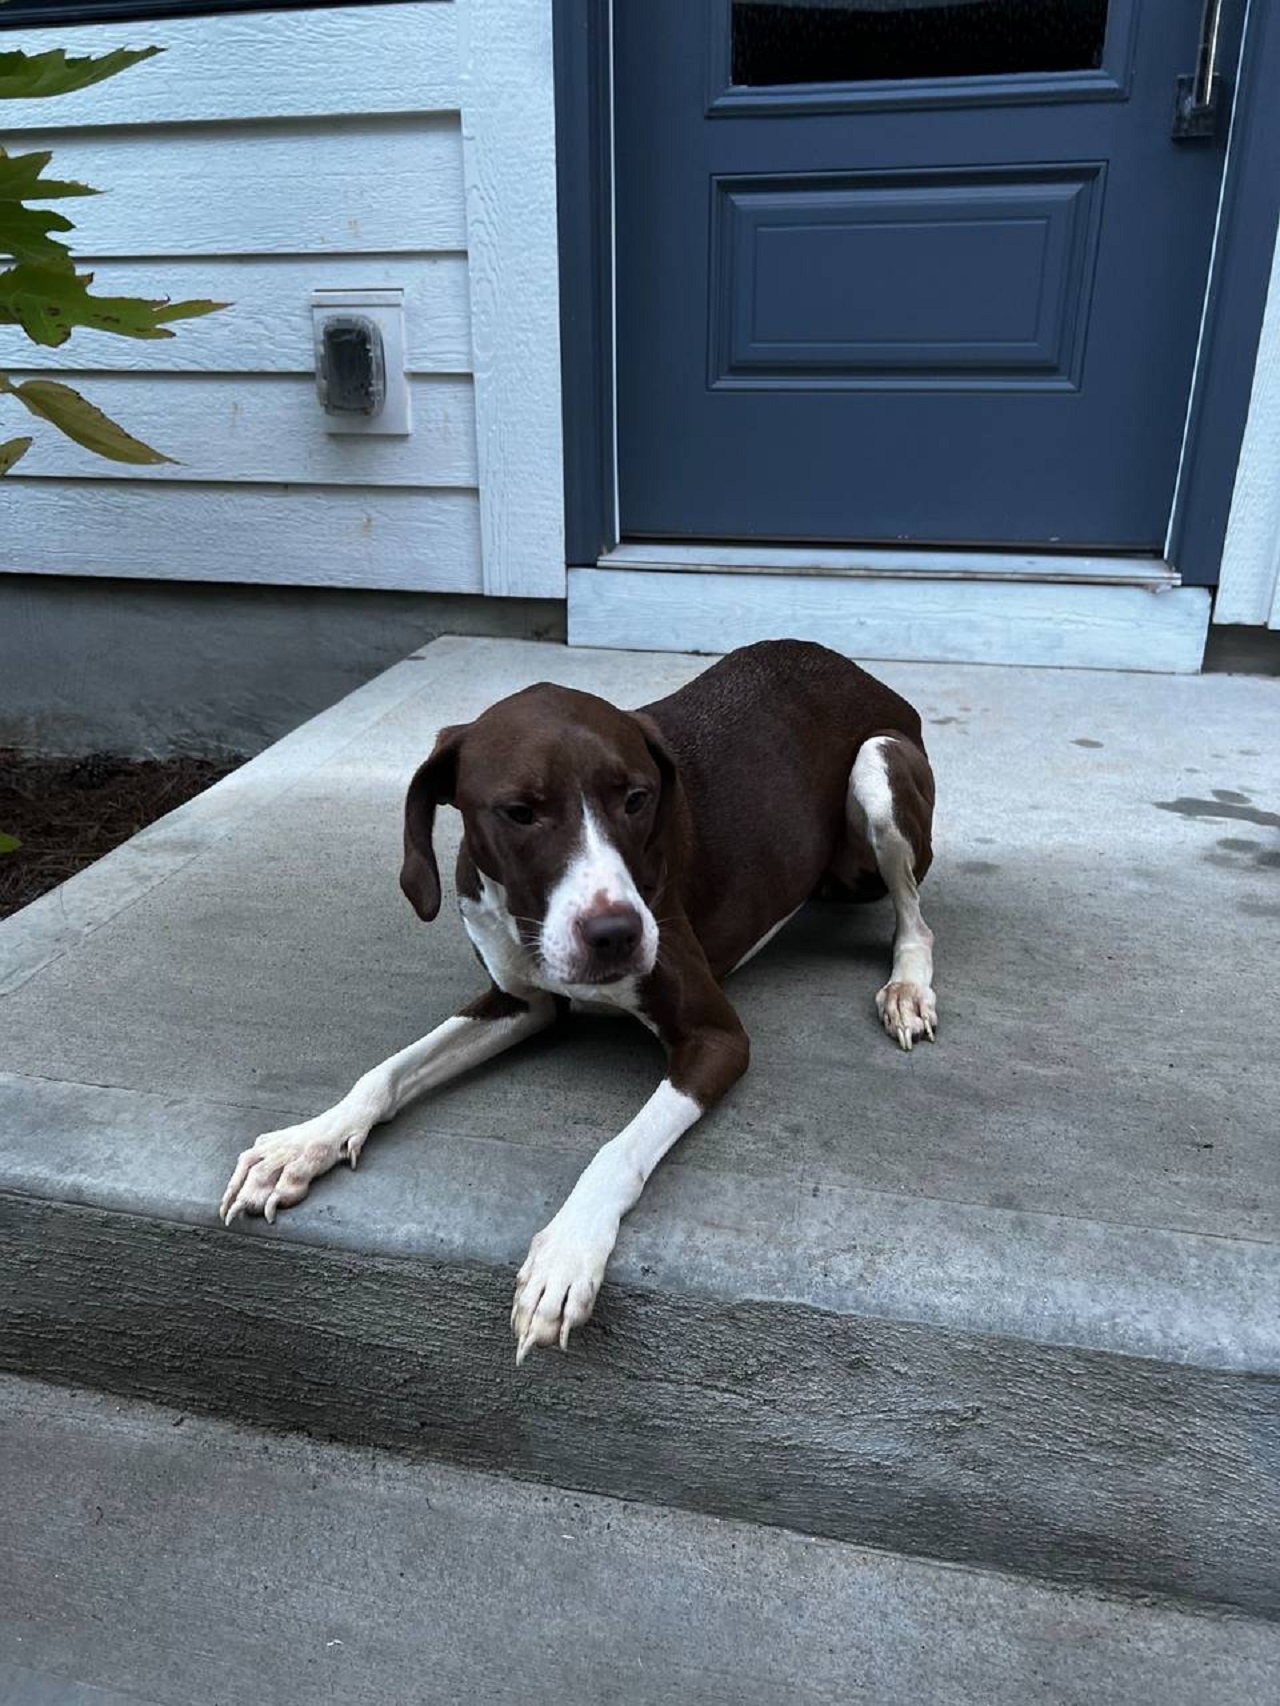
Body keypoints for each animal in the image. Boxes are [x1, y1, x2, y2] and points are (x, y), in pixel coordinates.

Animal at [220, 644, 935, 1364]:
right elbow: (387, 1071)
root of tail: (861, 673)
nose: (617, 934)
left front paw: (565, 1256)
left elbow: (617, 1149)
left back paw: (907, 988)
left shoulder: (716, 1036)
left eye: (638, 799)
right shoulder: (520, 1002)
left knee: (915, 919)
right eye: (519, 811)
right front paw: (305, 1142)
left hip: (880, 765)